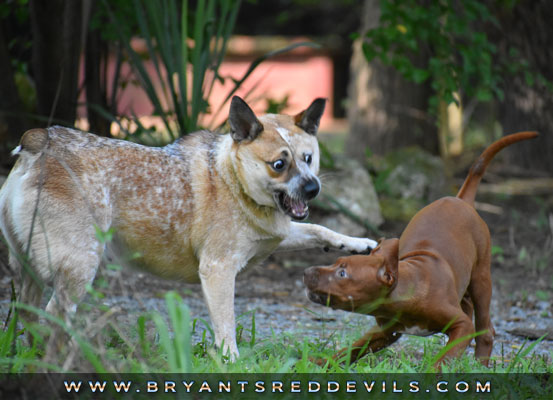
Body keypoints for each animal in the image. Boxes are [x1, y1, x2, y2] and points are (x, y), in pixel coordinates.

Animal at [0, 97, 376, 360]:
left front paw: (359, 243)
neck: (233, 179)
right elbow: (226, 324)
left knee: (29, 313)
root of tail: (41, 139)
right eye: (279, 164)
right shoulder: (218, 270)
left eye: (309, 158)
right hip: (82, 264)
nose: (313, 189)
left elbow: (319, 229)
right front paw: (231, 361)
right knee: (53, 315)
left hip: (30, 270)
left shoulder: (277, 236)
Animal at [304, 132, 536, 368]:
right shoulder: (384, 332)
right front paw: (320, 361)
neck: (409, 286)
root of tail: (460, 199)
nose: (306, 272)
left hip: (481, 279)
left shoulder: (461, 326)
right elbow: (351, 350)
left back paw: (480, 364)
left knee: (485, 329)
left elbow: (444, 358)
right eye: (334, 262)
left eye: (343, 273)